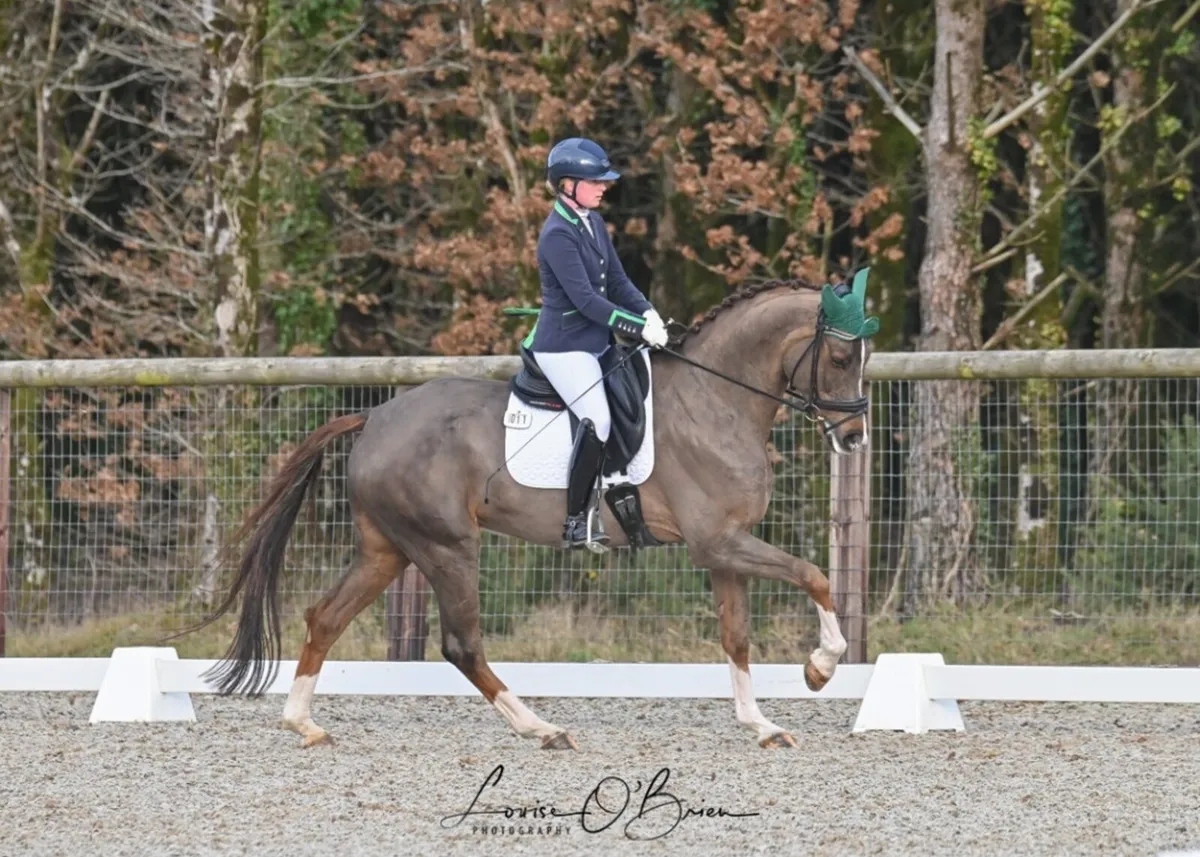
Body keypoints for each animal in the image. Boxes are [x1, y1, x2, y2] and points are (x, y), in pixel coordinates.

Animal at [194, 271, 878, 750]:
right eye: (841, 358)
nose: (853, 439)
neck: (716, 400)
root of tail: (376, 418)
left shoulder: (725, 547)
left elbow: (736, 636)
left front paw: (761, 724)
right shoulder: (717, 542)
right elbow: (815, 576)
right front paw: (820, 670)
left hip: (388, 550)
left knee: (325, 617)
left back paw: (302, 723)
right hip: (447, 547)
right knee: (461, 645)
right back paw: (541, 729)